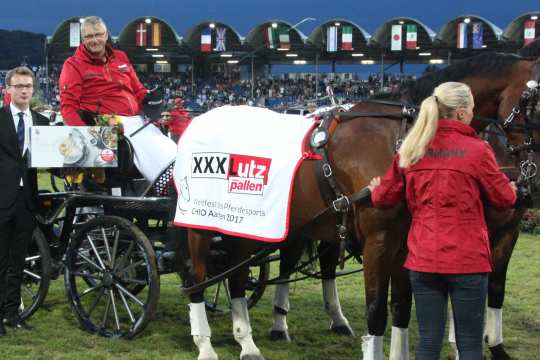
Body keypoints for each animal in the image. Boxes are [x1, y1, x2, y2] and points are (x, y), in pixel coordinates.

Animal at [180, 48, 540, 360]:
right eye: (533, 99)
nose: (529, 183)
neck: (401, 137)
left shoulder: (408, 243)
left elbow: (403, 307)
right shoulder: (378, 241)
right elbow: (377, 311)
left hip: (258, 224)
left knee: (239, 276)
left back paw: (249, 340)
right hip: (202, 222)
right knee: (198, 276)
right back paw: (206, 343)